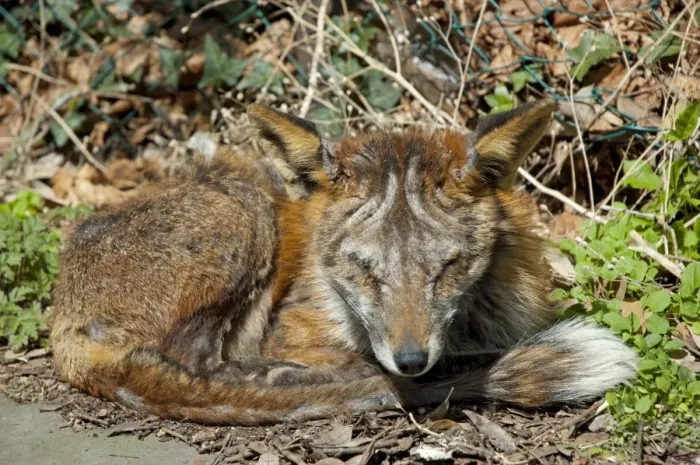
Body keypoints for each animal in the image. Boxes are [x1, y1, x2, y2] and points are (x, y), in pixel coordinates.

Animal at [49, 99, 638, 425]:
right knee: (193, 363)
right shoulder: (292, 329)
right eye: (364, 269)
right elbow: (356, 364)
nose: (410, 361)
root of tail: (62, 320)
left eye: (446, 268)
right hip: (246, 206)